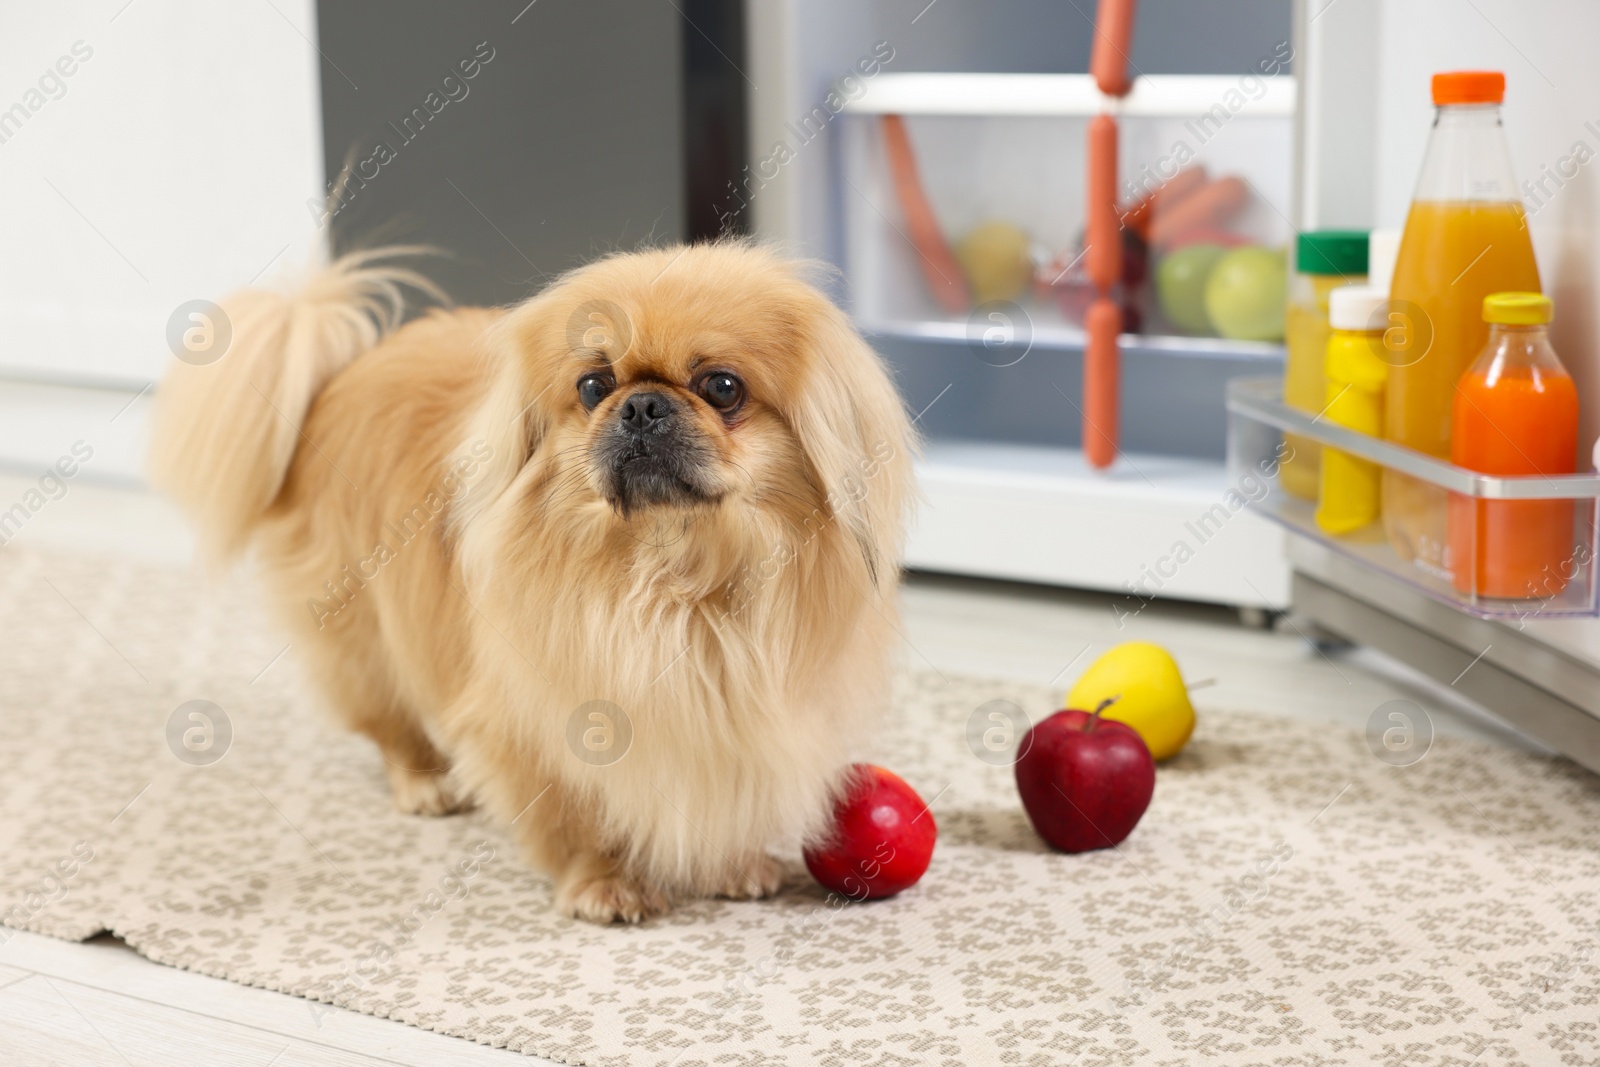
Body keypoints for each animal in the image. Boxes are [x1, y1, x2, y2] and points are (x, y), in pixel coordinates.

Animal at [156, 244, 921, 927]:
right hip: (364, 630)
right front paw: (605, 882)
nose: (642, 406)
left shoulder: (740, 711)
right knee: (388, 717)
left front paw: (731, 865)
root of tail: (338, 375)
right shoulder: (543, 719)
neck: (670, 576)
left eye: (722, 387)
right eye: (593, 386)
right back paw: (426, 782)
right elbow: (575, 814)